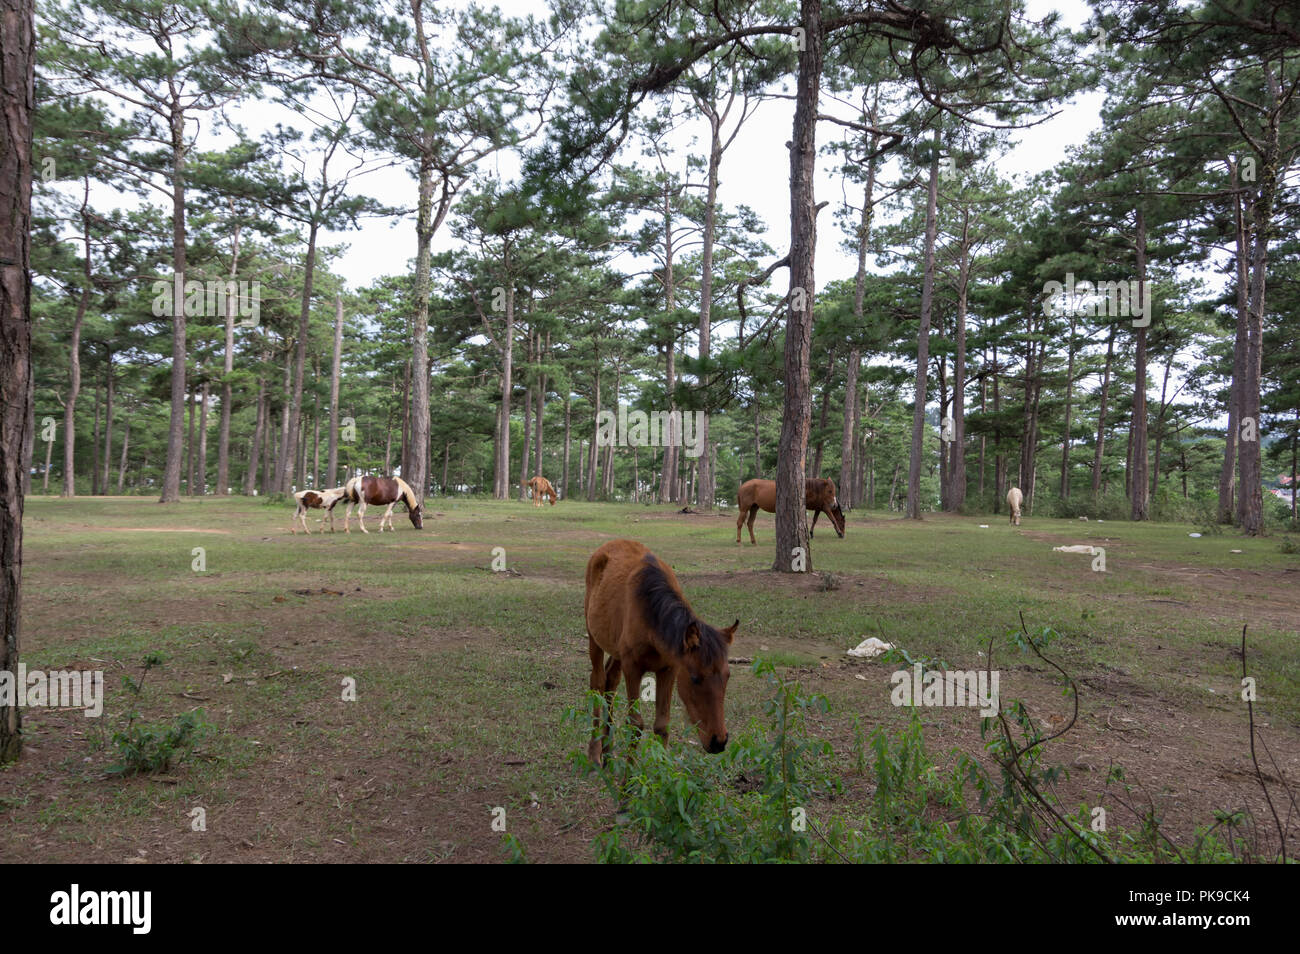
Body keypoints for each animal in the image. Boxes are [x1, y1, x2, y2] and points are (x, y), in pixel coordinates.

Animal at [585, 540, 738, 764]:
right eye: (695, 678)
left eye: (727, 676)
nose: (719, 741)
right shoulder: (633, 668)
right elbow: (635, 723)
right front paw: (629, 774)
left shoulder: (668, 669)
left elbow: (662, 725)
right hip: (593, 637)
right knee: (597, 682)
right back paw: (595, 753)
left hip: (615, 648)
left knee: (610, 681)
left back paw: (608, 750)